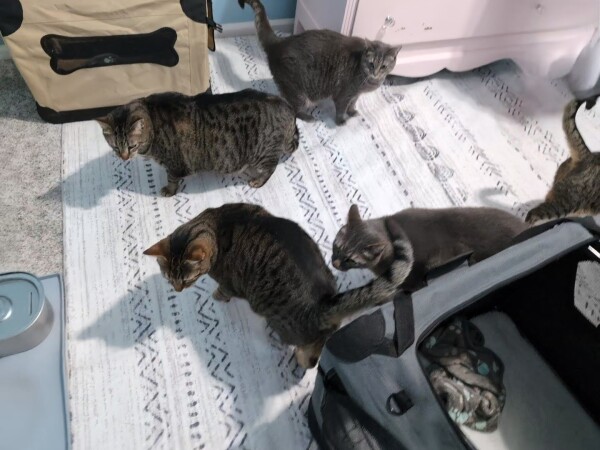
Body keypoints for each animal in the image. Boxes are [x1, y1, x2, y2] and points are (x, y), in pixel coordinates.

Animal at [96, 89, 300, 196]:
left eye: (132, 146)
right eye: (115, 147)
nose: (124, 158)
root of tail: (287, 107)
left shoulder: (174, 164)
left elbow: (172, 179)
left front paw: (169, 190)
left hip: (262, 153)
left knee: (271, 167)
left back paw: (258, 180)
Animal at [144, 204, 390, 370]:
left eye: (186, 280)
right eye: (169, 279)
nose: (177, 290)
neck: (215, 220)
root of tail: (324, 303)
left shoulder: (229, 283)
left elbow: (223, 291)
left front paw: (216, 295)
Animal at [238, 0, 398, 125]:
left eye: (384, 66)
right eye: (371, 63)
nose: (375, 72)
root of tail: (279, 43)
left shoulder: (355, 94)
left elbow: (352, 104)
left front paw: (353, 112)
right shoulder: (343, 94)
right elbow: (341, 108)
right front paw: (342, 121)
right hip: (299, 93)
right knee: (295, 109)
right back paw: (308, 117)